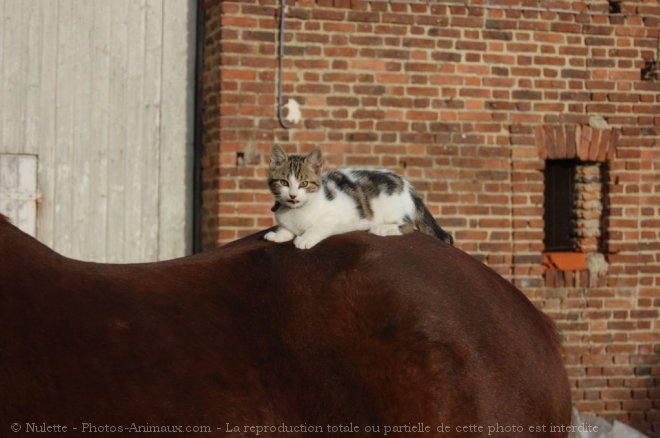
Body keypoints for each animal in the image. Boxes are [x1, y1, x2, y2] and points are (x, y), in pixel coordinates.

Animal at [262, 145, 454, 250]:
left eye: (304, 183)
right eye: (284, 182)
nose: (293, 195)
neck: (298, 211)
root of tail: (407, 186)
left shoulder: (335, 216)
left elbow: (319, 227)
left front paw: (305, 239)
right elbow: (286, 229)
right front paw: (277, 235)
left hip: (392, 206)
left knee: (408, 225)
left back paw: (381, 229)